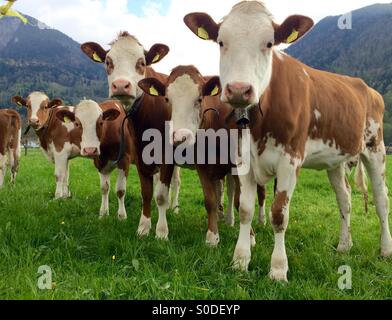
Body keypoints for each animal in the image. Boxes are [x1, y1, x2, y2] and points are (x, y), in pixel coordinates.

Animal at [81, 32, 182, 239]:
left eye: (141, 62)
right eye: (108, 62)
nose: (120, 85)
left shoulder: (164, 156)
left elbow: (160, 194)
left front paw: (161, 231)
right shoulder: (138, 156)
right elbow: (146, 193)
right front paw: (143, 227)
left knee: (176, 183)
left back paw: (174, 208)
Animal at [184, 0, 392, 280]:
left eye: (270, 43)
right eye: (221, 41)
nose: (239, 89)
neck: (259, 125)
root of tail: (368, 88)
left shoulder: (290, 161)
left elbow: (279, 214)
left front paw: (278, 269)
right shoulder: (243, 161)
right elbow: (245, 209)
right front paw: (240, 261)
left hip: (375, 148)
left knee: (382, 200)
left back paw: (385, 249)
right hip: (336, 160)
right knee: (345, 200)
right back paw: (344, 245)